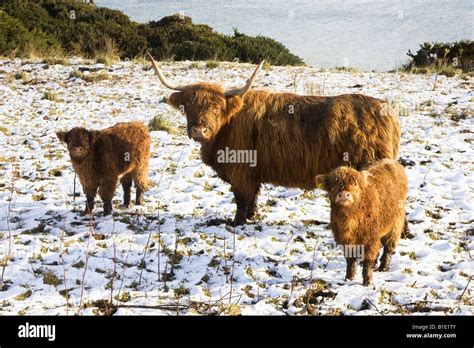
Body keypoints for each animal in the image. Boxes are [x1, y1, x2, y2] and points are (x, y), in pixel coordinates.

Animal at [148, 51, 400, 226]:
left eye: (217, 107)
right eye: (188, 105)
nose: (199, 131)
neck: (227, 127)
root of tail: (385, 109)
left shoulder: (240, 170)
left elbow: (241, 197)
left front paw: (237, 222)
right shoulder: (252, 172)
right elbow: (252, 197)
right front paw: (251, 216)